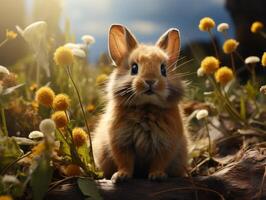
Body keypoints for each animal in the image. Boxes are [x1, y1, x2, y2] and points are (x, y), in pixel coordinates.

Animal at [92, 23, 190, 183]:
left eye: (163, 69)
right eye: (134, 68)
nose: (150, 81)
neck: (146, 106)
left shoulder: (166, 145)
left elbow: (159, 162)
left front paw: (157, 176)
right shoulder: (121, 143)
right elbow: (125, 162)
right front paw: (121, 176)